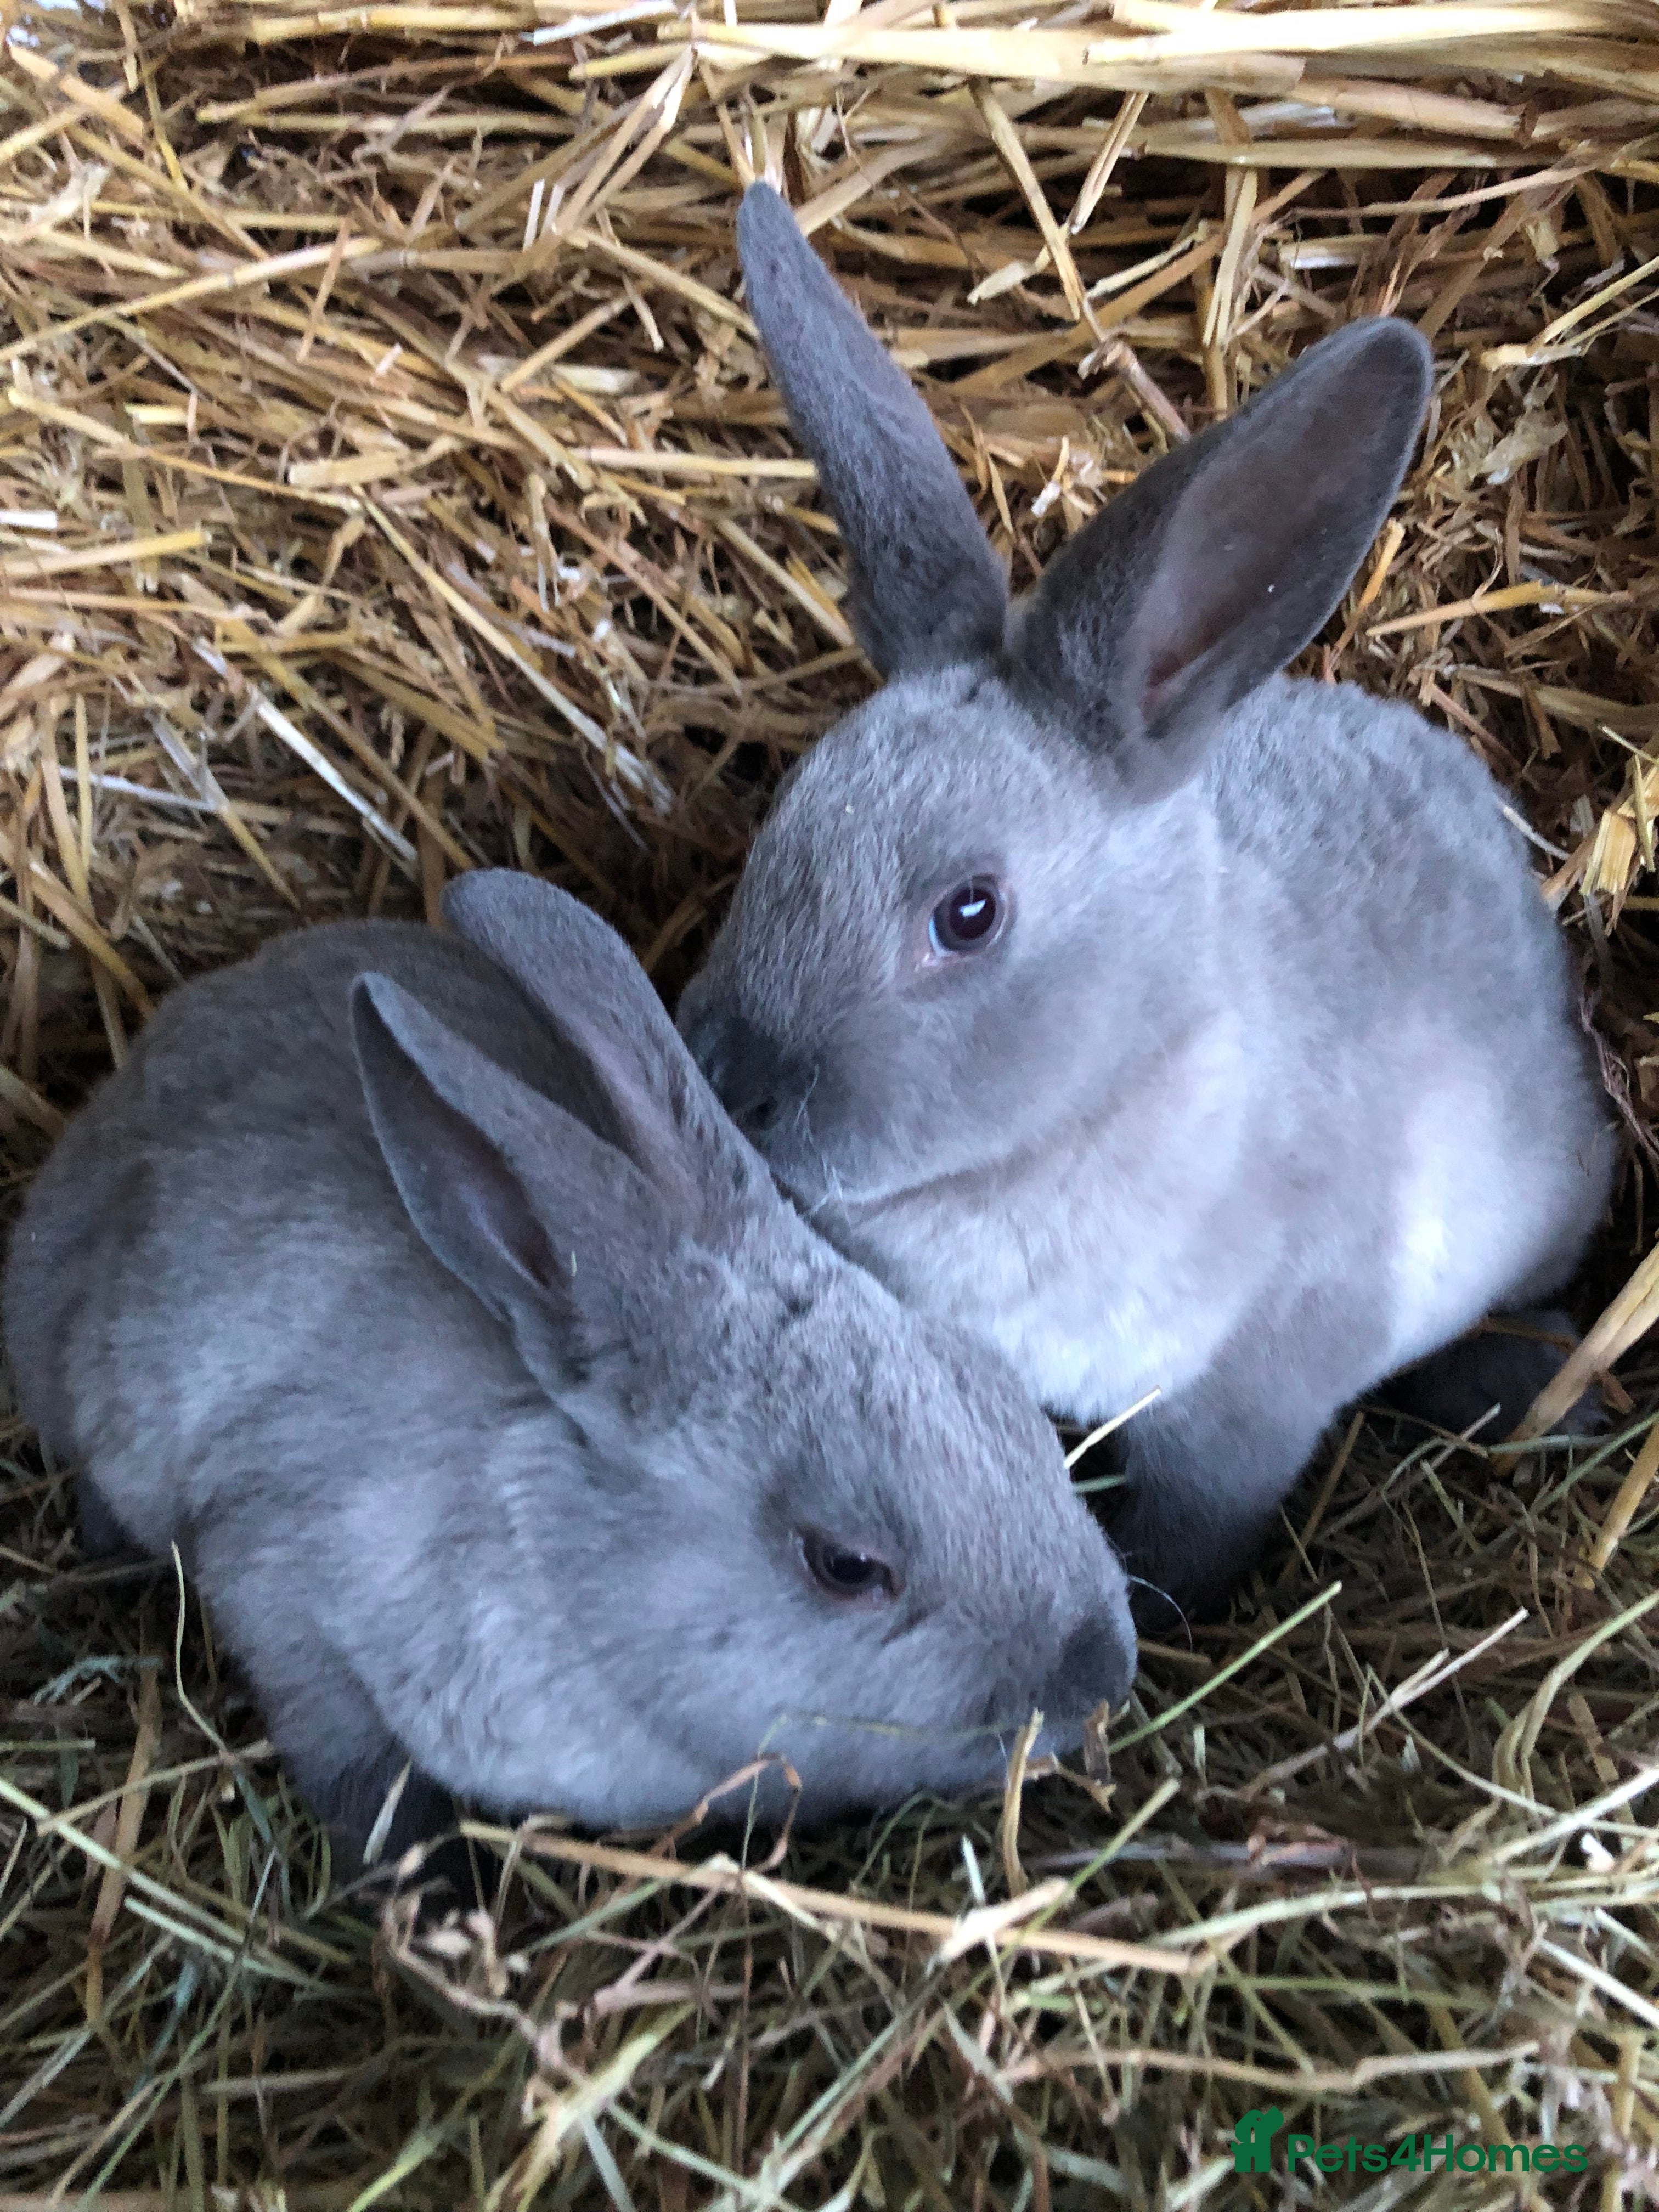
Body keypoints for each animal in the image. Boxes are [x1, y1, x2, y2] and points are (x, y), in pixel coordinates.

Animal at [2, 871, 1136, 1872]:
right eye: (846, 1565)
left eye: (1010, 1406)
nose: (1101, 1671)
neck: (556, 1552)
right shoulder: (283, 1589)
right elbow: (354, 1764)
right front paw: (421, 1874)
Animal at [676, 183, 1616, 1625]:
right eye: (782, 822)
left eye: (969, 915)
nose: (733, 1079)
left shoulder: (1242, 1408)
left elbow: (1194, 1533)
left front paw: (1164, 1619)